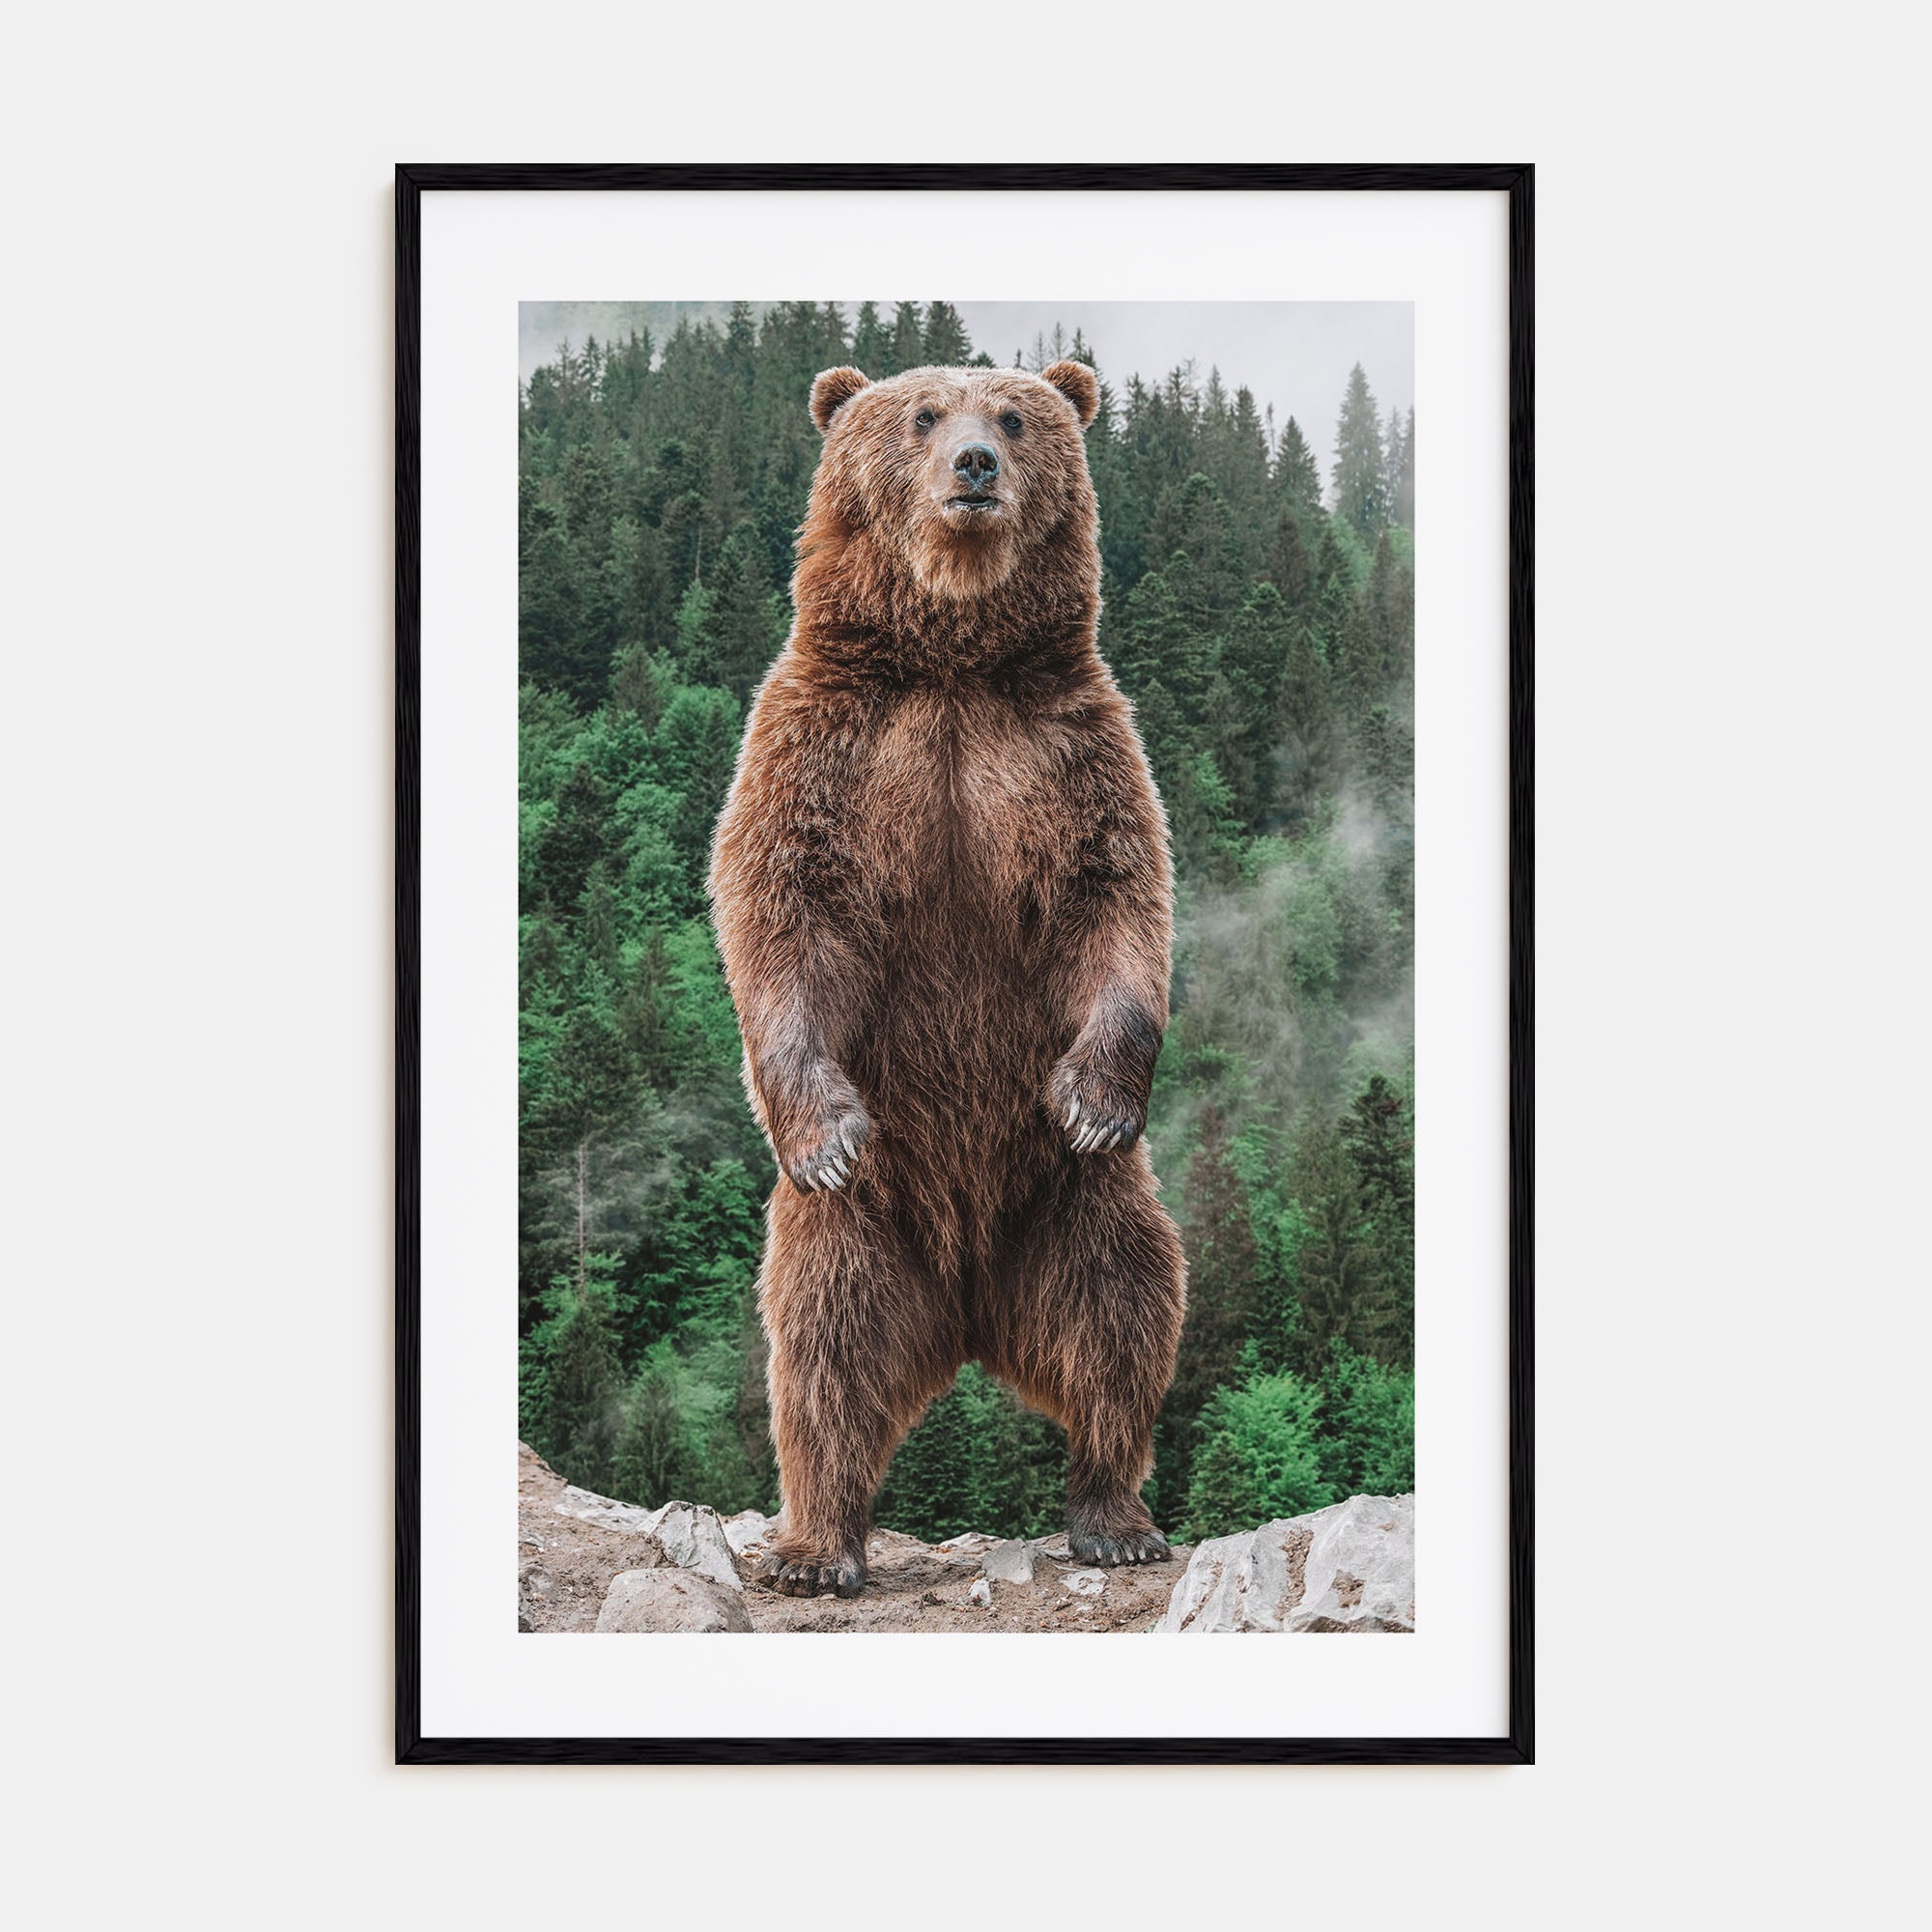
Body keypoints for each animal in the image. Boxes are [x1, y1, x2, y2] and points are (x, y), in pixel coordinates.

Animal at [707, 357, 1186, 1597]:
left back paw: (1113, 1514)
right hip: (862, 1227)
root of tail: (967, 1309)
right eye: (921, 414)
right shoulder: (826, 743)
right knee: (820, 1350)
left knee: (1123, 1310)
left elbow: (1116, 902)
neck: (951, 660)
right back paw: (815, 1545)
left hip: (1072, 1202)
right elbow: (780, 906)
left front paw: (1093, 1095)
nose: (973, 464)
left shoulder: (1068, 748)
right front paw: (823, 1126)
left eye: (1013, 417)